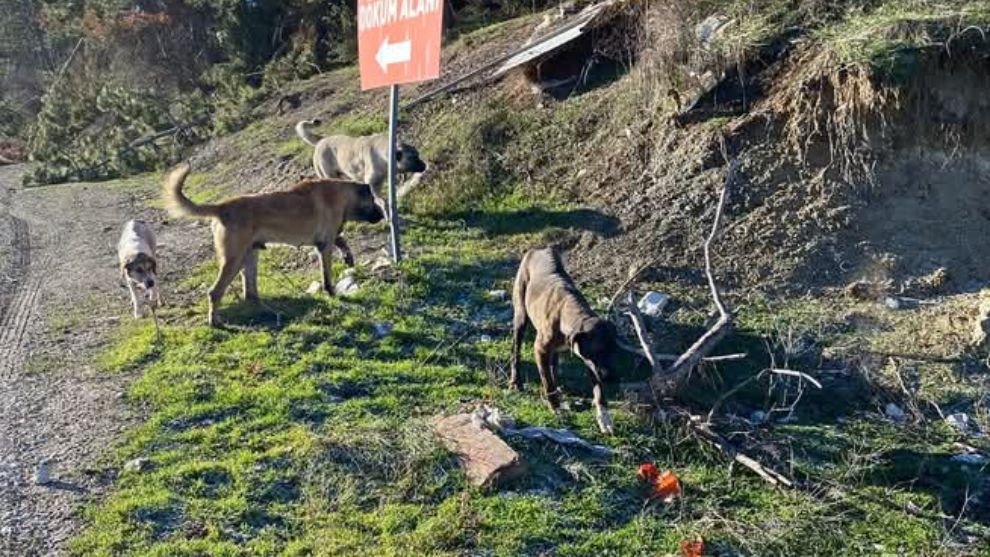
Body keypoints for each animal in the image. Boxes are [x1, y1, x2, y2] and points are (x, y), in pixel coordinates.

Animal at [163, 161, 384, 326]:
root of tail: (221, 207)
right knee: (215, 292)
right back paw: (215, 322)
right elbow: (327, 275)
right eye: (373, 201)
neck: (343, 194)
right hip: (233, 260)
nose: (382, 216)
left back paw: (270, 310)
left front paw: (348, 257)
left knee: (250, 293)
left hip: (249, 256)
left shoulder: (328, 239)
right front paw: (331, 292)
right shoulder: (325, 246)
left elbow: (342, 241)